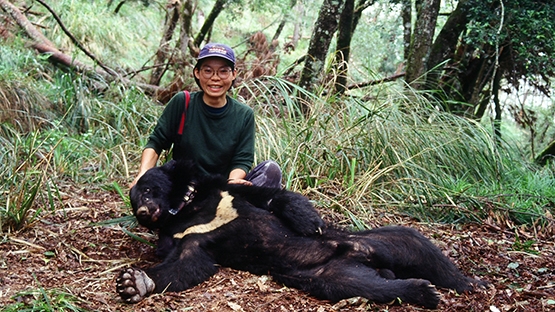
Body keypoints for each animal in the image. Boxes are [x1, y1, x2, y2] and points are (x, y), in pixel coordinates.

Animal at [118, 161, 486, 310]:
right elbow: (188, 263)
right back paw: (422, 290)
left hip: (379, 238)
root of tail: (360, 255)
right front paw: (133, 283)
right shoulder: (188, 237)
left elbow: (271, 198)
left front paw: (310, 222)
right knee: (366, 286)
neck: (188, 209)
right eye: (134, 200)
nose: (143, 212)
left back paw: (472, 283)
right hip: (327, 275)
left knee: (418, 245)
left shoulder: (227, 194)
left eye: (148, 189)